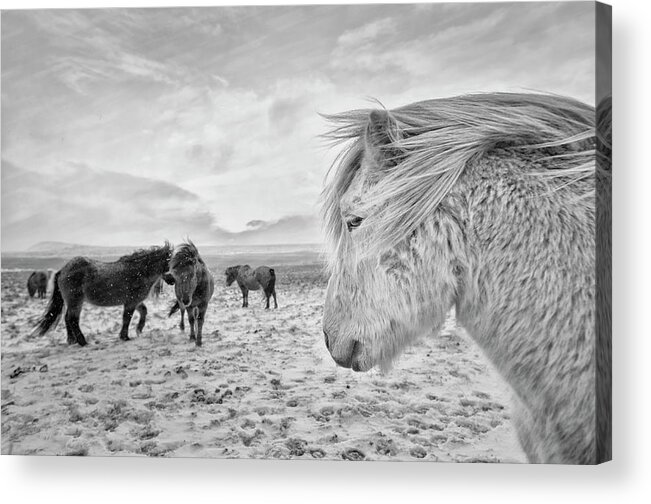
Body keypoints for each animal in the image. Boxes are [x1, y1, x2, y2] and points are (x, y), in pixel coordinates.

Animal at [34, 241, 173, 344]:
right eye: (169, 262)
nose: (172, 280)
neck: (139, 272)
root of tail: (63, 270)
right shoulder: (131, 302)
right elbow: (126, 318)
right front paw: (125, 337)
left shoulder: (136, 301)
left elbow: (143, 311)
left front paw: (139, 330)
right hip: (76, 301)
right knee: (72, 319)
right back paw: (82, 342)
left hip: (73, 302)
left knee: (67, 318)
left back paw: (71, 340)